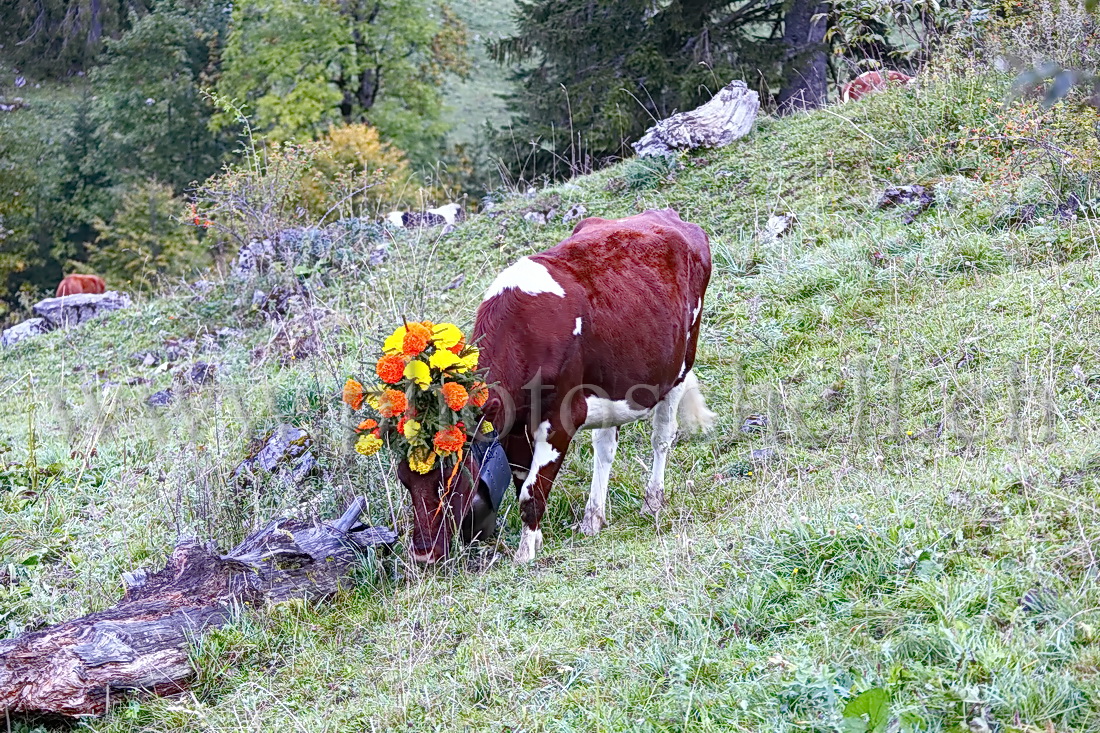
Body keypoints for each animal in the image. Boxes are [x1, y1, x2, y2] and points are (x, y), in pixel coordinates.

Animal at [400, 208, 717, 561]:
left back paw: (652, 502)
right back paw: (593, 518)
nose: (423, 554)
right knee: (605, 448)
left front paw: (525, 556)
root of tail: (665, 213)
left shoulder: (562, 418)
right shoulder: (513, 424)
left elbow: (532, 492)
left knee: (661, 437)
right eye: (405, 481)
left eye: (448, 480)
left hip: (679, 367)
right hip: (611, 382)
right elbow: (521, 481)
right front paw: (535, 539)